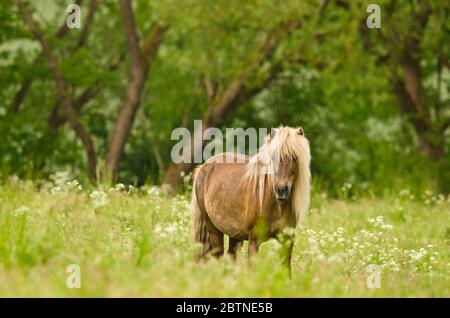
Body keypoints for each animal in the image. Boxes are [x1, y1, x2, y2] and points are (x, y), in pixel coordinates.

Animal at [189, 125, 310, 274]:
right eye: (273, 157)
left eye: (294, 157)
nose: (281, 190)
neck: (277, 206)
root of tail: (203, 167)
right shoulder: (254, 240)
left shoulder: (287, 240)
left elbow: (286, 270)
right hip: (213, 229)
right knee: (218, 255)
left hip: (234, 235)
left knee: (230, 256)